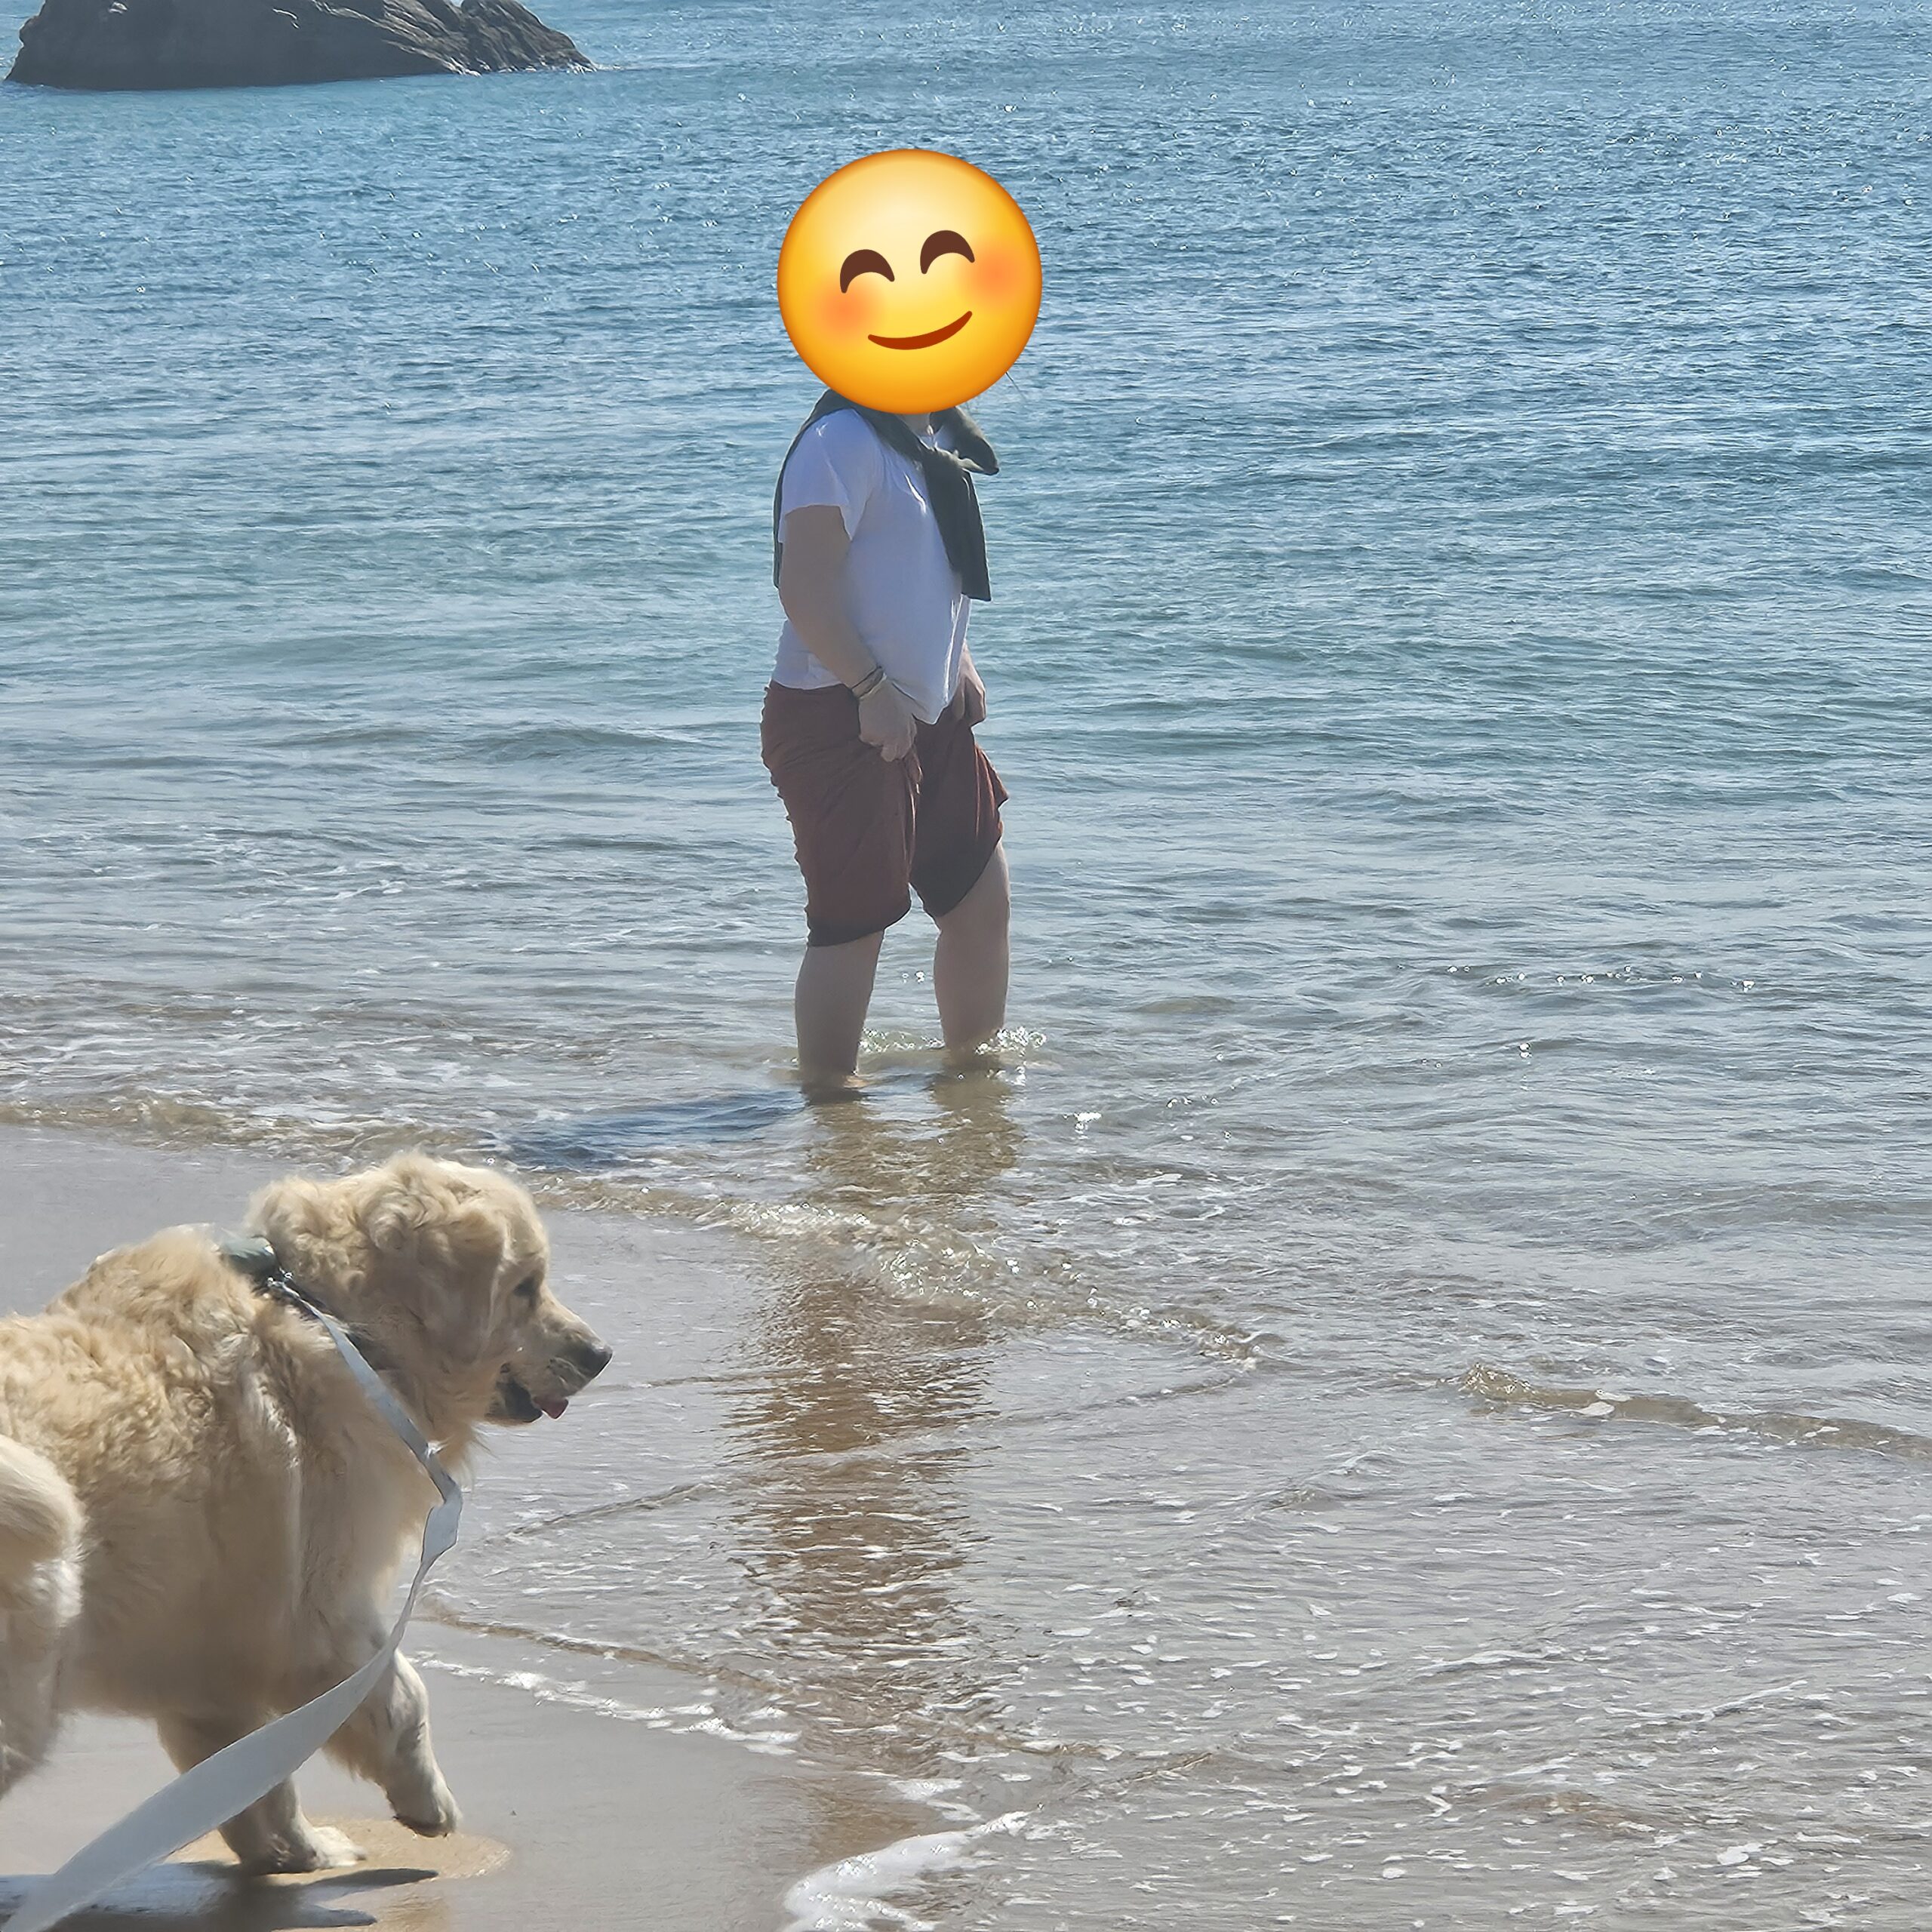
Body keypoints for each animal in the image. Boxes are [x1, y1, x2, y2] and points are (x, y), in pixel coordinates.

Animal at [0, 1152, 610, 1873]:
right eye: (525, 1286)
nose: (601, 1355)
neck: (335, 1319)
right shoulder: (323, 1612)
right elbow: (402, 1698)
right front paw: (428, 1803)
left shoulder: (215, 1660)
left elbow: (248, 1773)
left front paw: (296, 1848)